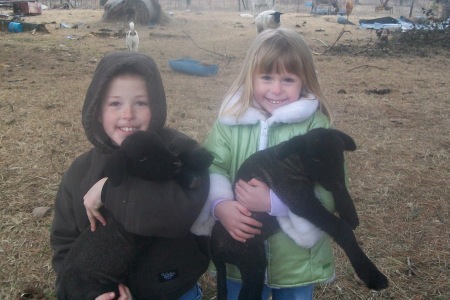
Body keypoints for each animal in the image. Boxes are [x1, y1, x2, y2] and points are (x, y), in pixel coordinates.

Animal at [57, 131, 214, 300]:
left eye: (161, 144)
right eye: (142, 158)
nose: (176, 164)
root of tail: (63, 287)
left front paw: (200, 158)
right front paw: (192, 175)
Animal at [209, 127, 388, 300]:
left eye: (340, 155)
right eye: (316, 160)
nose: (335, 181)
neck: (294, 160)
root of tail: (215, 250)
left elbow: (341, 190)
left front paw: (350, 213)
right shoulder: (299, 199)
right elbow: (340, 228)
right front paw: (372, 275)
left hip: (254, 260)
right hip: (249, 261)